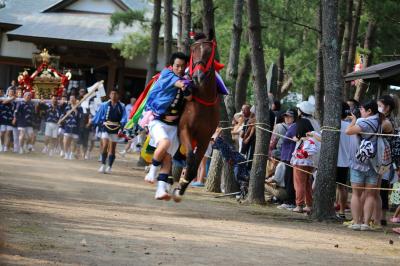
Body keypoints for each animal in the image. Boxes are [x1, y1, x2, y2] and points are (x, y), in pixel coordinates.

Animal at [172, 35, 220, 202]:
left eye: (209, 52)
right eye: (193, 50)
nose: (198, 76)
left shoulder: (205, 138)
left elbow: (194, 164)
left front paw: (181, 187)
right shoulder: (184, 129)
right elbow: (190, 158)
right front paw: (181, 183)